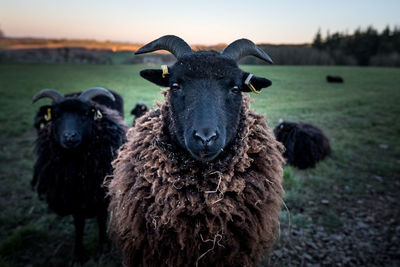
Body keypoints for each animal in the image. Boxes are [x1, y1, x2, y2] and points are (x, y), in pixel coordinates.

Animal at [31, 87, 127, 262]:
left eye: (85, 113)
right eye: (56, 115)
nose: (70, 137)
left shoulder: (100, 193)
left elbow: (101, 218)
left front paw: (103, 248)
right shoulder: (72, 197)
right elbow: (79, 223)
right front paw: (78, 254)